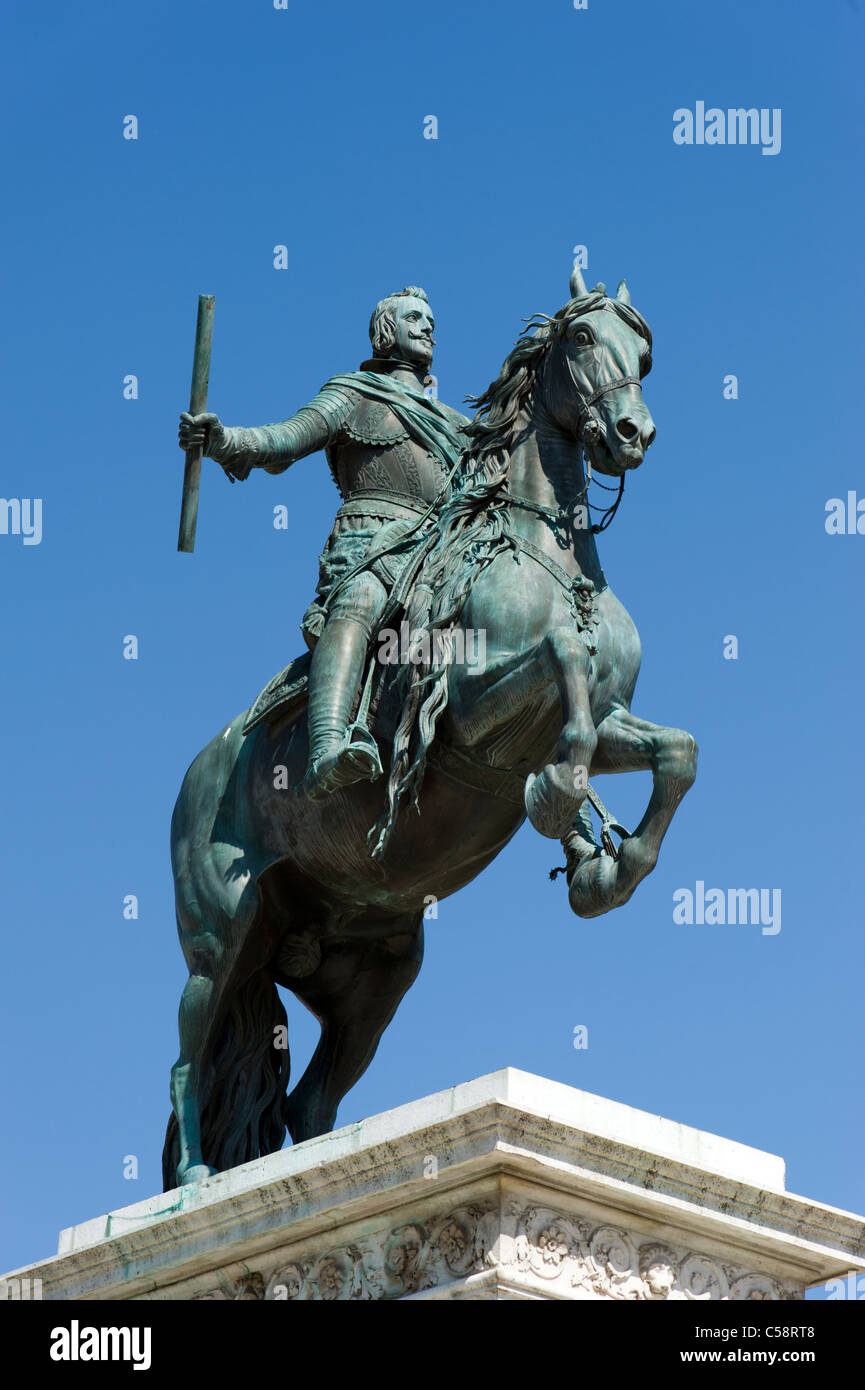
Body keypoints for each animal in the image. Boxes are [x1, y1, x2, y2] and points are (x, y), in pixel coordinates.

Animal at [166, 268, 700, 1184]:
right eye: (583, 340)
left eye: (644, 352)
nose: (632, 433)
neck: (544, 551)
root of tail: (200, 772)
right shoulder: (467, 720)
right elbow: (563, 662)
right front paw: (558, 803)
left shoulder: (614, 719)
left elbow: (674, 750)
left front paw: (606, 865)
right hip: (221, 939)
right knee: (187, 1060)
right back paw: (198, 1177)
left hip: (373, 974)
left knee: (307, 1104)